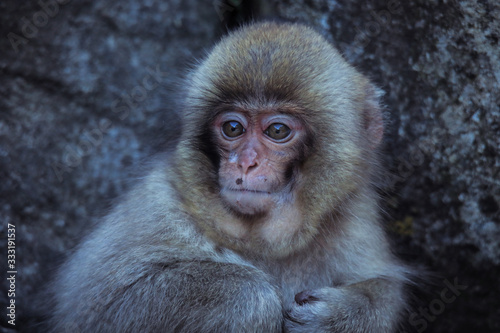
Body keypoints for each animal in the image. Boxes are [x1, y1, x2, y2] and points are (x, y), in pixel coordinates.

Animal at [48, 22, 408, 330]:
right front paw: (251, 297)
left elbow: (388, 285)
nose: (246, 163)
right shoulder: (157, 203)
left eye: (278, 131)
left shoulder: (354, 215)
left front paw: (342, 315)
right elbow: (99, 308)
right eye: (233, 128)